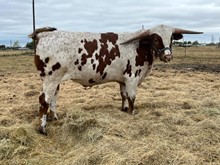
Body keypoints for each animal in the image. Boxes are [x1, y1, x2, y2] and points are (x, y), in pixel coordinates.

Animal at [29, 24, 203, 134]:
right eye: (155, 38)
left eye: (172, 37)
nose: (167, 56)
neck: (140, 45)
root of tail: (44, 34)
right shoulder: (132, 77)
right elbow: (132, 97)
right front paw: (132, 113)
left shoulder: (123, 80)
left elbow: (123, 95)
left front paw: (124, 109)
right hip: (51, 79)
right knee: (43, 100)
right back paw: (43, 129)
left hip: (55, 81)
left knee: (53, 99)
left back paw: (54, 118)